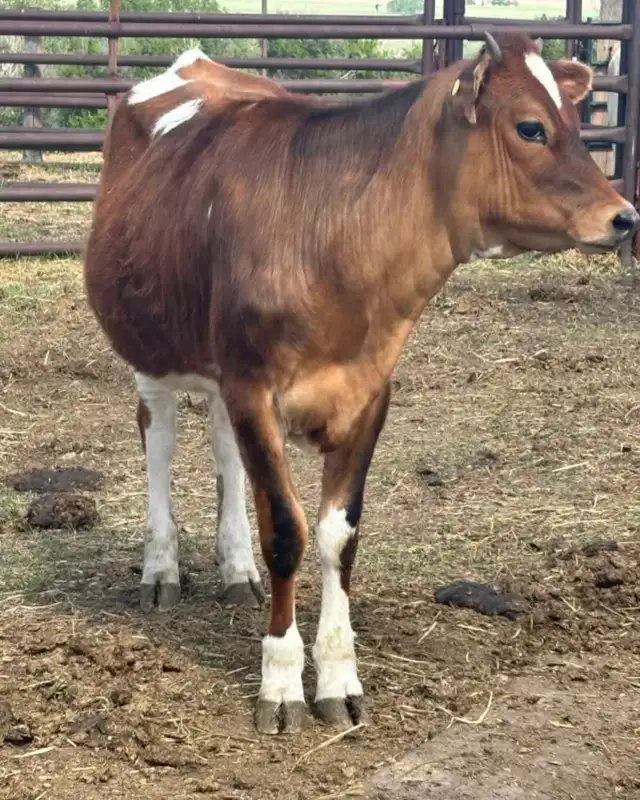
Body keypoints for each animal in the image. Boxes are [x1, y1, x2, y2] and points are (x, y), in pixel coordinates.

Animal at [84, 30, 638, 736]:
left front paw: (339, 677)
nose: (623, 217)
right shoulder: (254, 387)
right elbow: (286, 532)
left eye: (576, 119)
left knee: (222, 444)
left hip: (219, 365)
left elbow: (338, 536)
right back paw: (161, 567)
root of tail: (194, 63)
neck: (332, 241)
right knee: (158, 434)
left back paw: (236, 567)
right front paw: (281, 682)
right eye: (531, 127)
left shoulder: (369, 393)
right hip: (148, 336)